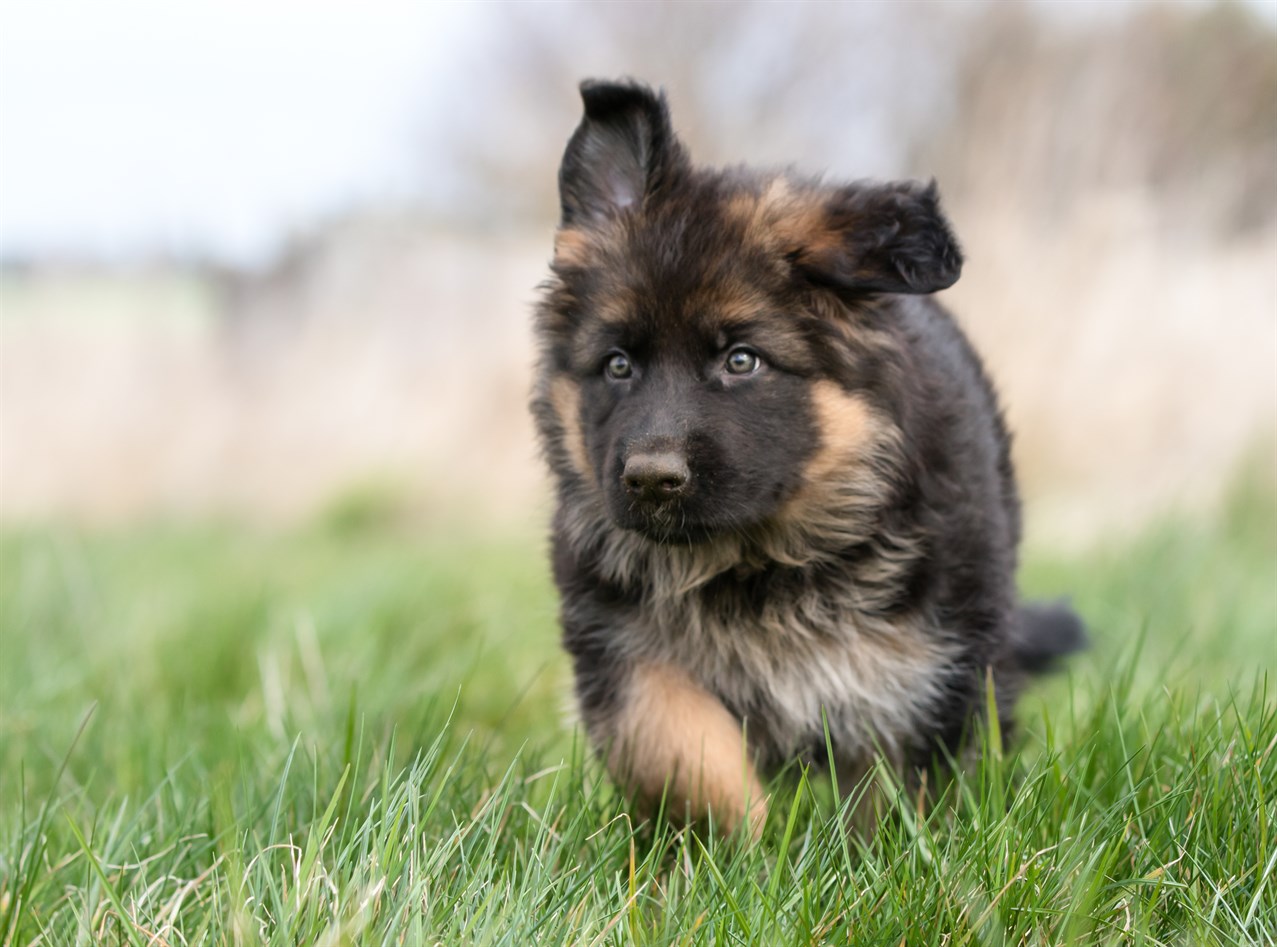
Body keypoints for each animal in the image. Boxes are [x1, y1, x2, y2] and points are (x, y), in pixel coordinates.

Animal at [533, 81, 1082, 837]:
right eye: (617, 365)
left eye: (741, 361)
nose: (650, 480)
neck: (755, 561)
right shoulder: (621, 646)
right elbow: (680, 748)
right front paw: (739, 844)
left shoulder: (924, 671)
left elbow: (898, 795)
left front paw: (883, 855)